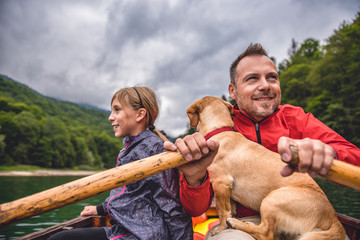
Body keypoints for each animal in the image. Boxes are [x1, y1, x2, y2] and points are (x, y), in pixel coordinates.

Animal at [187, 96, 344, 240]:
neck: (220, 129)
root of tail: (333, 218)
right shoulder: (227, 190)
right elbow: (230, 208)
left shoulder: (220, 183)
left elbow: (222, 211)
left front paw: (220, 228)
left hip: (271, 199)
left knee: (266, 233)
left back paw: (235, 223)